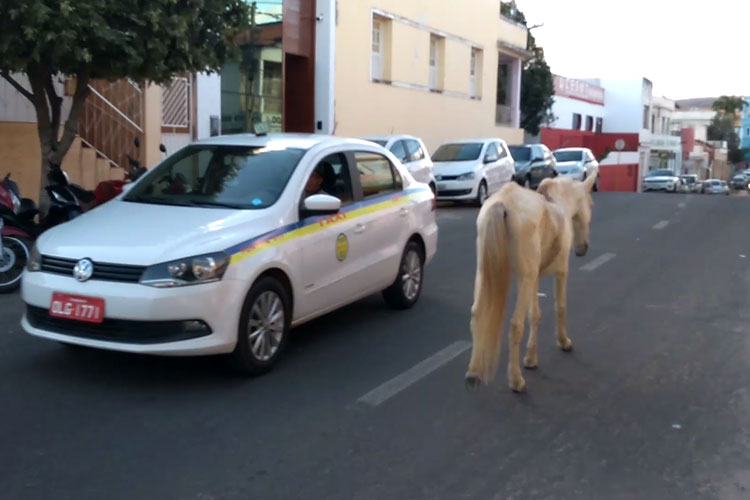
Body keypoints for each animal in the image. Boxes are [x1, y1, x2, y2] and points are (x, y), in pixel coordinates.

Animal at [464, 174, 600, 392]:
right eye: (591, 204)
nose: (582, 249)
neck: (558, 205)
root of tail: (503, 202)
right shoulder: (560, 272)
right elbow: (560, 307)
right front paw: (563, 341)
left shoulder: (533, 278)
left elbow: (535, 315)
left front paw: (531, 358)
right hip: (525, 279)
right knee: (515, 325)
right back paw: (516, 379)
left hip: (485, 275)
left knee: (477, 314)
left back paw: (473, 373)